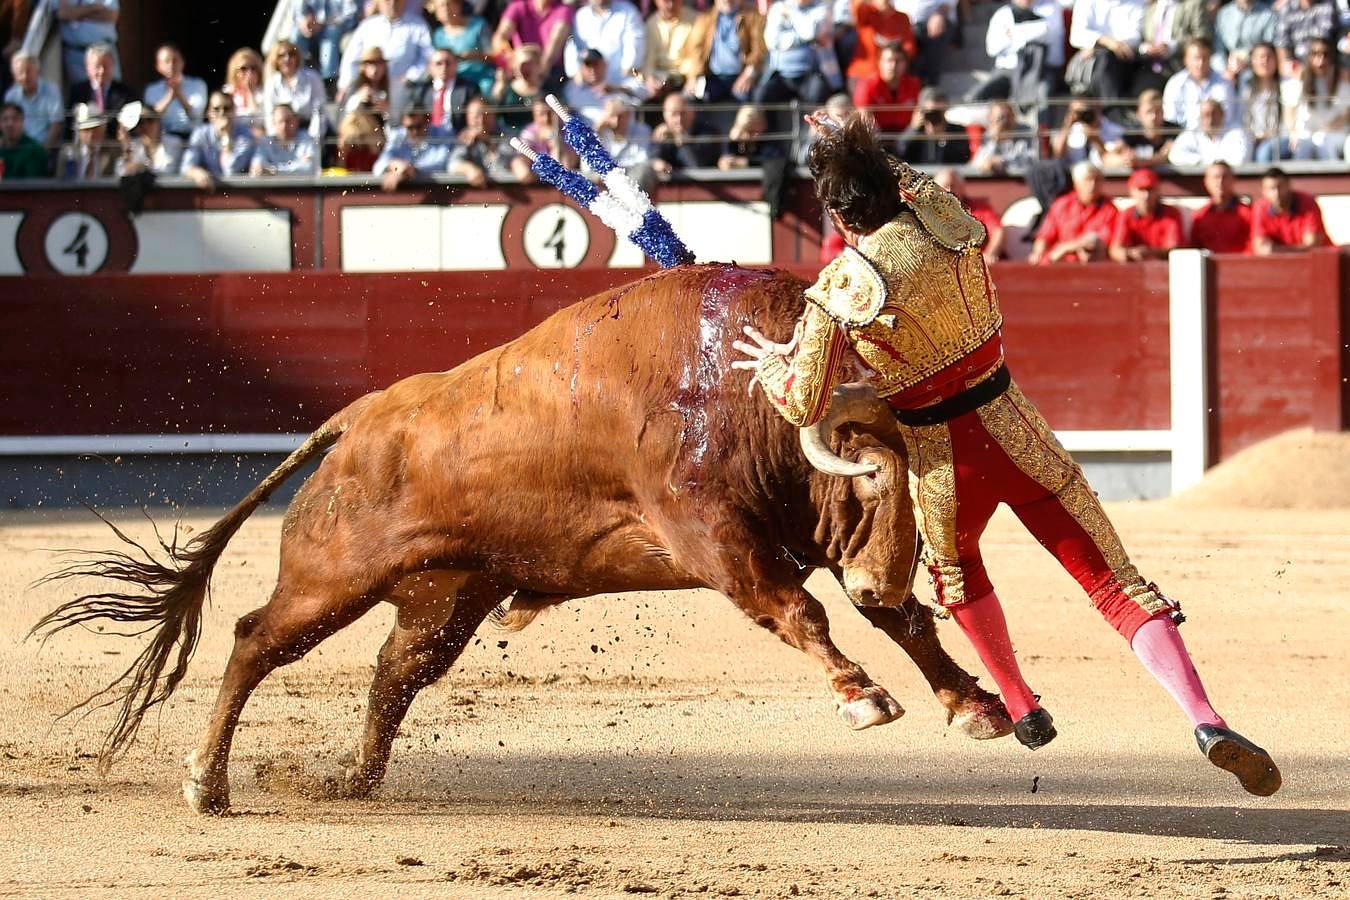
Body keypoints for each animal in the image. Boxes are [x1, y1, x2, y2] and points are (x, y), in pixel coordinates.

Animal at [34, 261, 1015, 814]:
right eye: (878, 476)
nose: (883, 579)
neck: (747, 396)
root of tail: (358, 419)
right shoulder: (717, 540)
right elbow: (800, 613)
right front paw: (865, 696)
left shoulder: (803, 540)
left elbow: (905, 624)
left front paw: (976, 707)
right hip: (331, 579)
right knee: (253, 642)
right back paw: (207, 785)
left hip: (445, 597)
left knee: (392, 676)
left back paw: (353, 781)